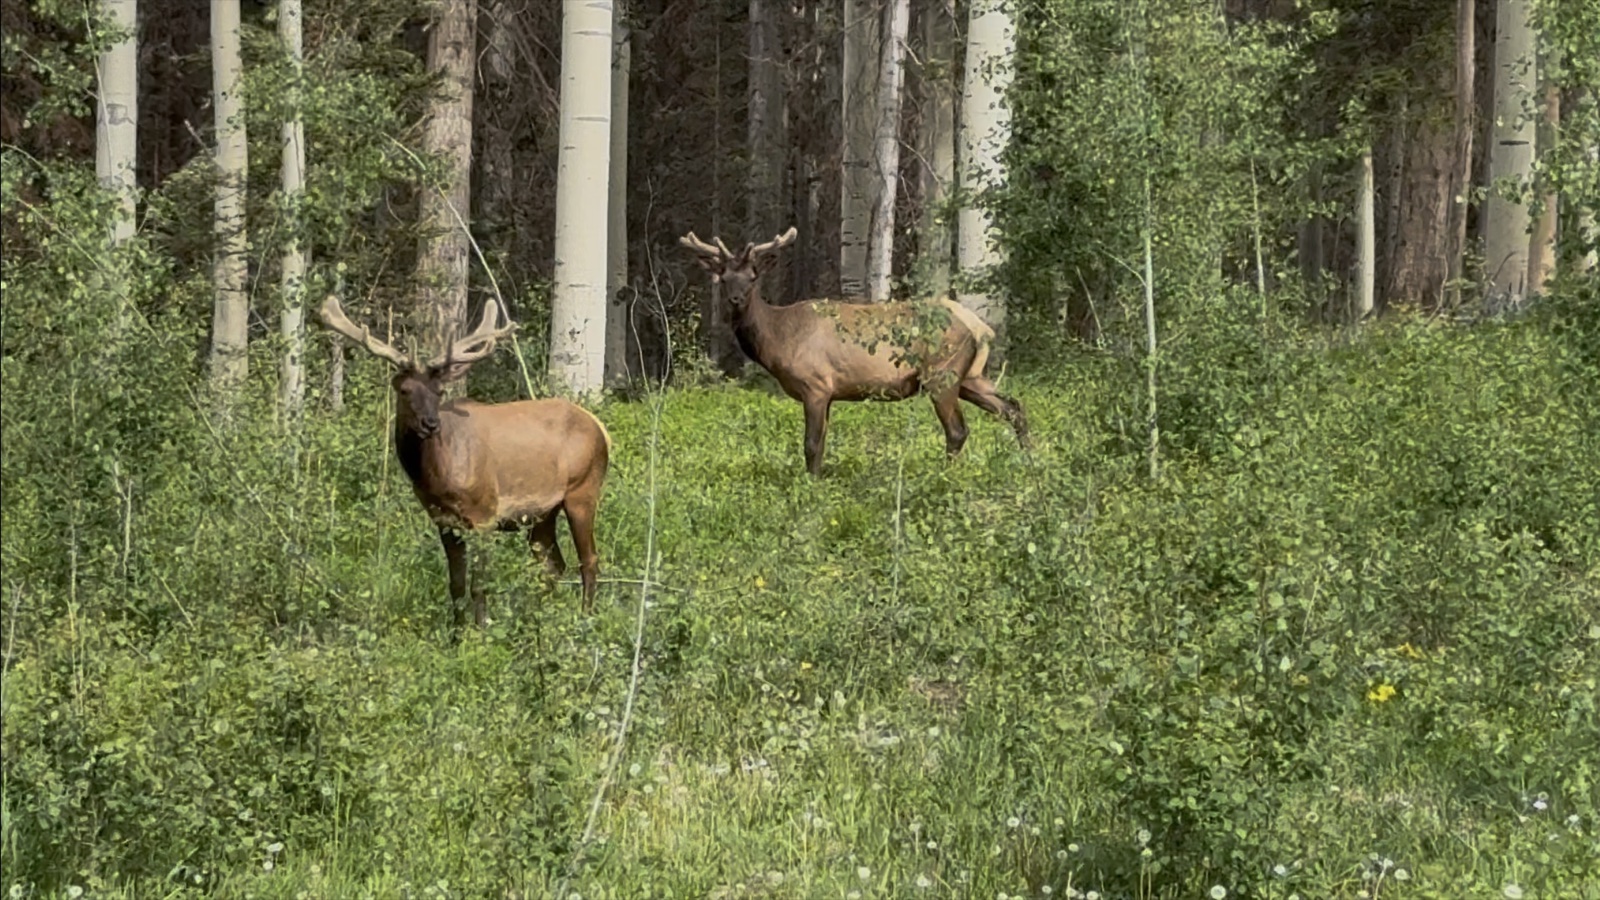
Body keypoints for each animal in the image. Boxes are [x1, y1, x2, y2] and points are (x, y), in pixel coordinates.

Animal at [318, 294, 611, 628]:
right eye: (405, 390)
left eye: (440, 390)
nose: (430, 423)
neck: (439, 477)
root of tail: (600, 428)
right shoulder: (444, 522)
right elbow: (456, 584)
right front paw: (457, 633)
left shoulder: (485, 514)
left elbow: (479, 584)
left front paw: (480, 631)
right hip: (543, 513)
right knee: (552, 566)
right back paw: (538, 620)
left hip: (583, 490)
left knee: (589, 560)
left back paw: (584, 620)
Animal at [679, 227, 1031, 476]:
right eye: (724, 277)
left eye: (753, 277)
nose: (735, 299)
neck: (778, 339)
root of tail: (979, 327)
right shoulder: (828, 393)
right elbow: (821, 445)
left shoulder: (816, 385)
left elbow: (810, 444)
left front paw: (811, 485)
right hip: (970, 375)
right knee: (1013, 407)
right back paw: (1029, 461)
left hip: (942, 372)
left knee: (957, 430)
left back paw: (946, 477)